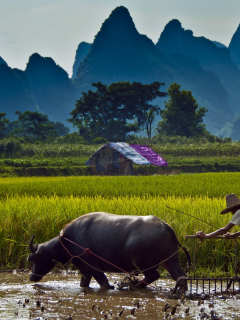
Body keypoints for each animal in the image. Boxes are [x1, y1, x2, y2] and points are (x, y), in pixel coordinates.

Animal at [28, 212, 189, 290]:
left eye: (36, 258)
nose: (31, 277)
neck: (67, 240)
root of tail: (164, 224)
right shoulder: (83, 267)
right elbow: (84, 282)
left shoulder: (92, 264)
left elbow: (103, 282)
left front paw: (110, 287)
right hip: (170, 260)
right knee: (180, 277)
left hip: (142, 262)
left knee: (153, 275)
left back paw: (135, 286)